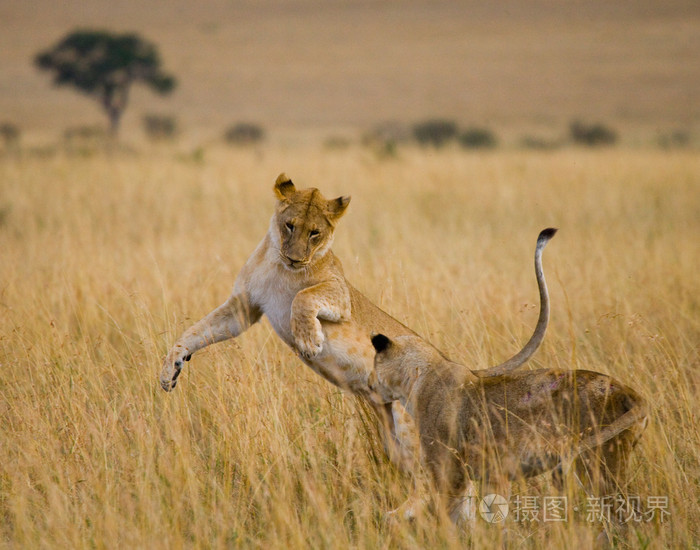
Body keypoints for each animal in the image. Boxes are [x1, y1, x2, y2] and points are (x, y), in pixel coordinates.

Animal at [160, 175, 556, 472]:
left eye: (315, 233)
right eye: (289, 226)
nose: (295, 258)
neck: (279, 267)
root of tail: (461, 370)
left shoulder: (340, 297)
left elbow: (303, 298)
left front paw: (309, 340)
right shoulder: (243, 309)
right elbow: (193, 332)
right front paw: (170, 371)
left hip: (413, 425)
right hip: (394, 434)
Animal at [370, 332, 648, 528]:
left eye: (373, 366)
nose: (370, 387)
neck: (417, 377)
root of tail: (628, 391)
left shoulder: (448, 473)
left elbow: (445, 516)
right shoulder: (484, 473)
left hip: (599, 465)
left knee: (629, 517)